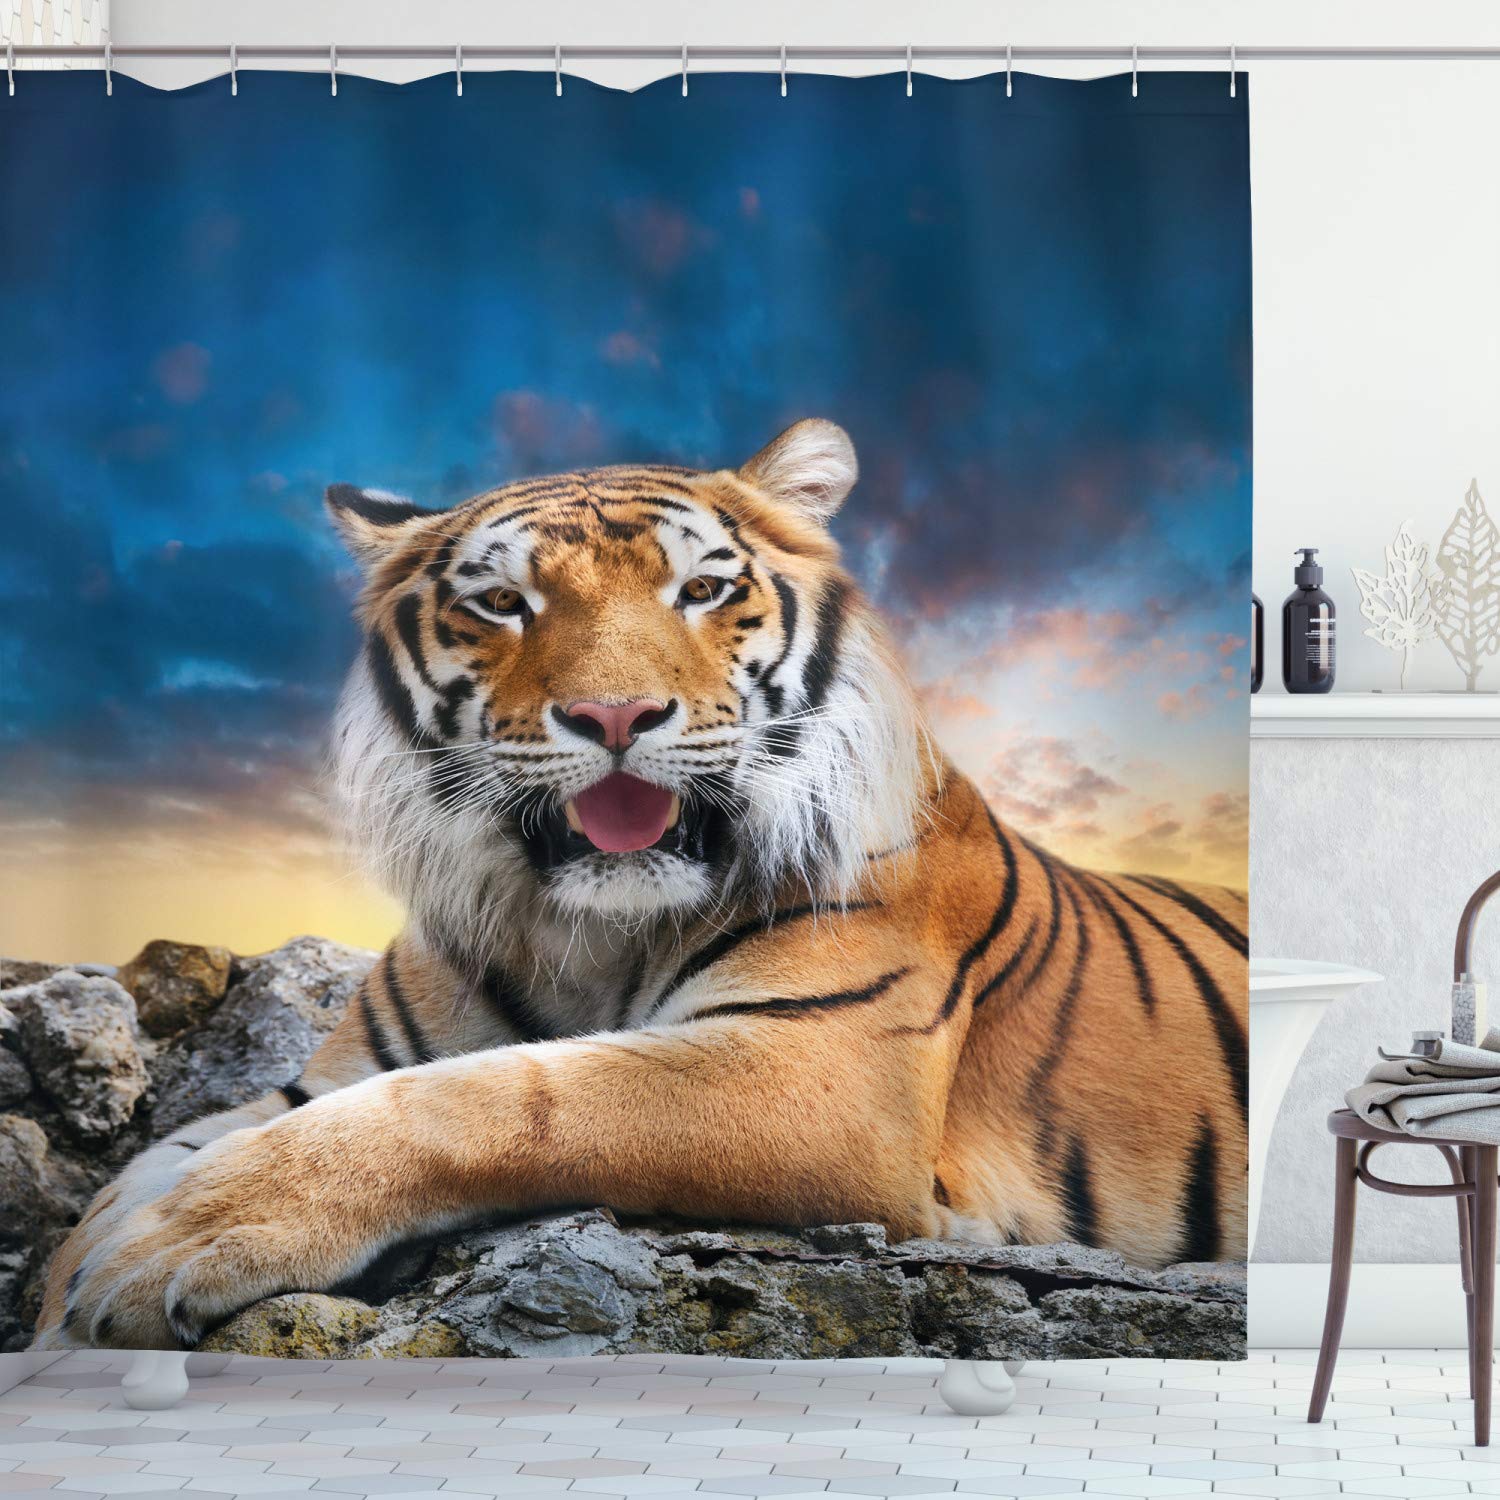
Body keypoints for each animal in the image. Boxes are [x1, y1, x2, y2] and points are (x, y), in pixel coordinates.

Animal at [35, 418, 1248, 1351]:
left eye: (704, 590)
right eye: (503, 604)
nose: (614, 716)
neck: (583, 930)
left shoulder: (815, 1067)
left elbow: (509, 1096)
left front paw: (187, 1241)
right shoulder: (311, 1082)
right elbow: (131, 1178)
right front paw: (73, 1297)